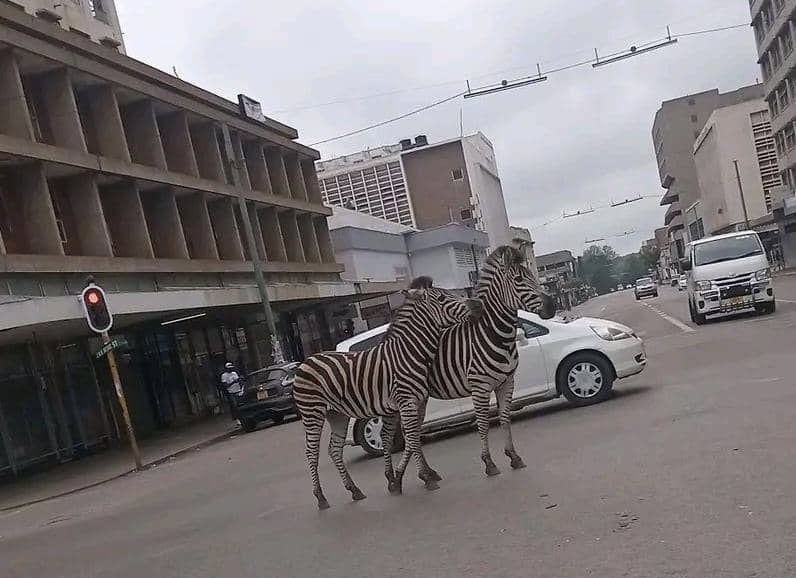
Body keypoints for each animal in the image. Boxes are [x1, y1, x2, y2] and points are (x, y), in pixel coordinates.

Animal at [293, 281, 482, 510]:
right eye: (442, 299)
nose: (478, 305)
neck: (410, 353)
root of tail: (306, 361)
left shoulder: (419, 402)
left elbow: (413, 437)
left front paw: (412, 476)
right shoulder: (407, 402)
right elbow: (412, 437)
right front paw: (425, 477)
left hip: (337, 414)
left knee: (334, 450)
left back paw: (354, 490)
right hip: (312, 413)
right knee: (312, 453)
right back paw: (321, 498)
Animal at [414, 246, 556, 479]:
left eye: (532, 275)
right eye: (519, 279)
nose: (552, 306)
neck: (494, 335)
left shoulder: (506, 382)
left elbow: (505, 418)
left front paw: (513, 456)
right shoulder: (479, 386)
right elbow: (482, 423)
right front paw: (489, 463)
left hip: (418, 399)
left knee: (413, 434)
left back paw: (427, 473)